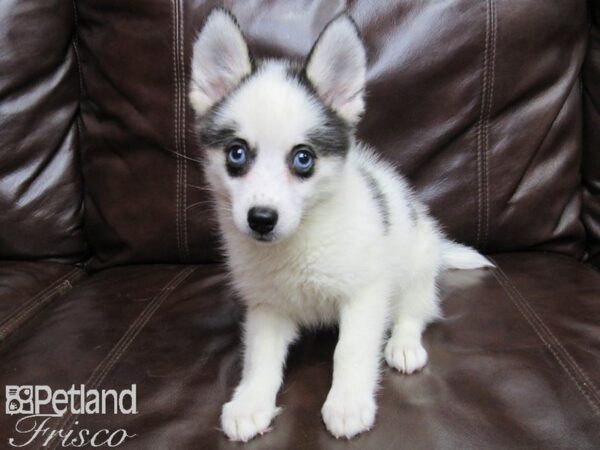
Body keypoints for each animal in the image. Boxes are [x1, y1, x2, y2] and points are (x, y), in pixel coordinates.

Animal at [189, 7, 492, 442]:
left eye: (303, 158)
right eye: (236, 153)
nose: (261, 219)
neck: (299, 241)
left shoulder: (365, 294)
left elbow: (349, 350)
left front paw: (347, 402)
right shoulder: (266, 305)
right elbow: (260, 356)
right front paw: (251, 402)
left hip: (416, 264)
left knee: (415, 310)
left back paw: (404, 343)